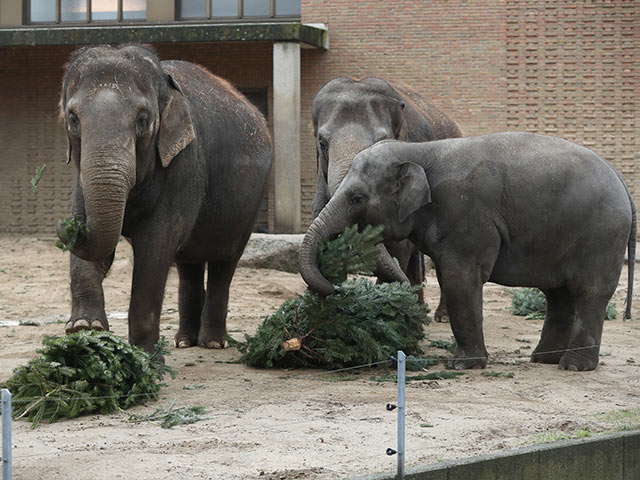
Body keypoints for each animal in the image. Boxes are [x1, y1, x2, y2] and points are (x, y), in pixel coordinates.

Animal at [55, 45, 272, 352]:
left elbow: (156, 245)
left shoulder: (186, 164)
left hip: (251, 206)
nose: (62, 225)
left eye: (143, 119)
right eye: (73, 118)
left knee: (224, 262)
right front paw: (85, 327)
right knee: (189, 262)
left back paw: (212, 343)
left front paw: (145, 355)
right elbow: (97, 244)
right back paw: (185, 341)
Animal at [300, 133, 636, 374]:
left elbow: (459, 279)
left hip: (601, 236)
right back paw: (543, 360)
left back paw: (573, 366)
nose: (335, 288)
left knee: (588, 292)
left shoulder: (465, 215)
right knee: (559, 294)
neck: (418, 150)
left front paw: (461, 365)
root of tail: (622, 180)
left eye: (357, 198)